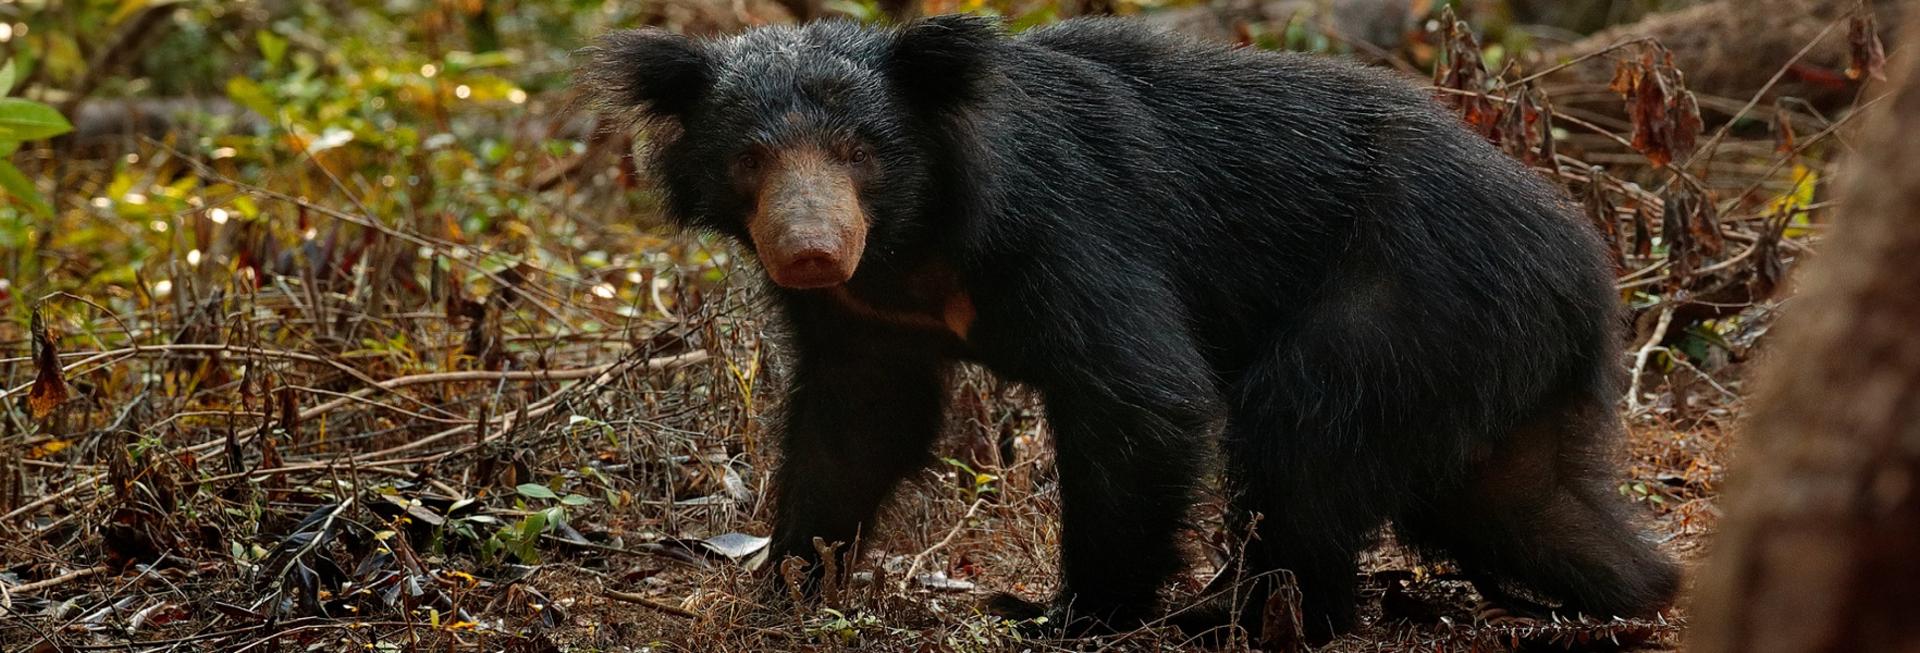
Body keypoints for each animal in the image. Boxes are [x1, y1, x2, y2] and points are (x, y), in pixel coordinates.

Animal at [579, 14, 1681, 640]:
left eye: (859, 152)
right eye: (752, 159)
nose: (809, 250)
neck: (912, 241)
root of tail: (1588, 270)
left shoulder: (1068, 225)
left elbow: (1136, 393)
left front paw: (1071, 616)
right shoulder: (865, 312)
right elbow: (857, 424)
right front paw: (784, 583)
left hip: (1400, 297)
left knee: (1303, 438)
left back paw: (1251, 616)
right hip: (1472, 356)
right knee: (1520, 499)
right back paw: (1644, 584)